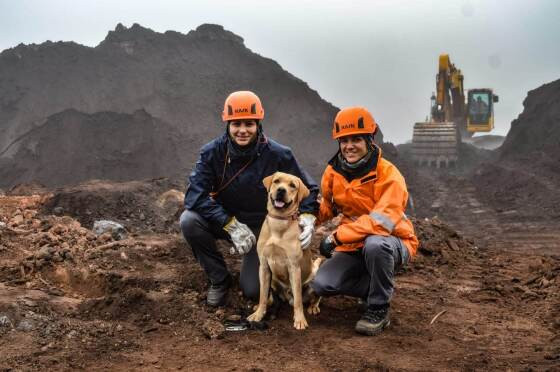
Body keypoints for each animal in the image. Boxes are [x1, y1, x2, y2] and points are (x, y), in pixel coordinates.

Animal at [247, 173, 322, 330]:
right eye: (277, 181)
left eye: (292, 185)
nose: (281, 190)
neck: (279, 222)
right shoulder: (264, 266)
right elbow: (263, 295)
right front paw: (259, 314)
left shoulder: (294, 267)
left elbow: (298, 300)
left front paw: (300, 320)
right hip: (274, 279)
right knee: (271, 295)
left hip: (314, 277)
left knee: (314, 297)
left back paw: (313, 306)